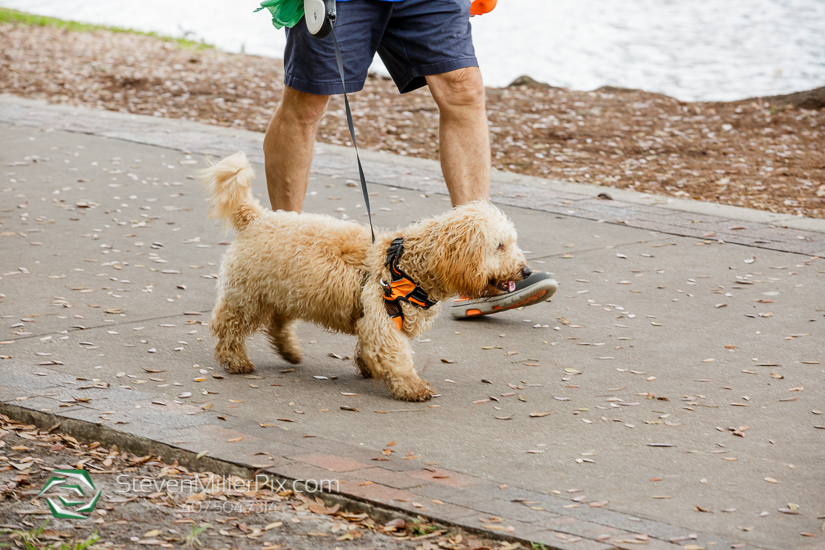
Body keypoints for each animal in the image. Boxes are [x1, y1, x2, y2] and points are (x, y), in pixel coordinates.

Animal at [203, 153, 532, 404]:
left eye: (511, 243)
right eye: (499, 246)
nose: (526, 271)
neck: (408, 264)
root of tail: (256, 218)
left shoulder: (373, 317)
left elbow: (370, 347)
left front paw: (370, 366)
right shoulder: (383, 318)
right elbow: (397, 357)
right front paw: (412, 387)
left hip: (285, 291)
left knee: (277, 323)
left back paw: (290, 351)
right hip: (248, 296)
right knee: (228, 324)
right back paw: (235, 360)